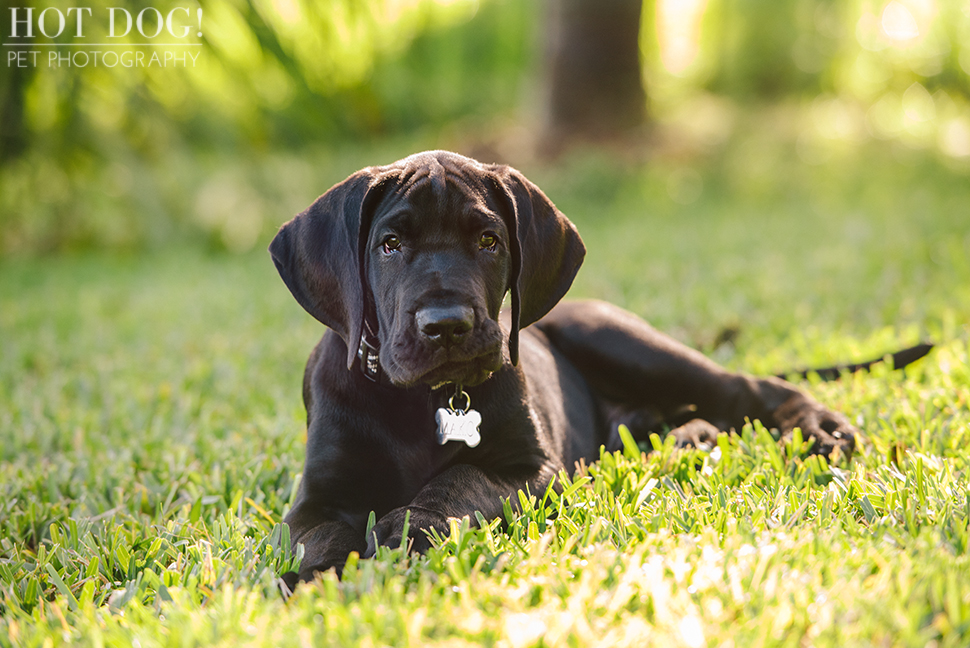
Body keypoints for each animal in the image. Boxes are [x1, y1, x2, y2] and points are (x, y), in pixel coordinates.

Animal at [270, 151, 856, 584]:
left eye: (489, 241)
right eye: (390, 245)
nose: (447, 325)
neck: (420, 399)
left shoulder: (535, 469)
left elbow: (461, 478)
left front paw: (408, 527)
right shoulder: (315, 498)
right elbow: (318, 536)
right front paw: (318, 578)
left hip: (620, 340)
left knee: (744, 389)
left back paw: (817, 426)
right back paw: (688, 439)